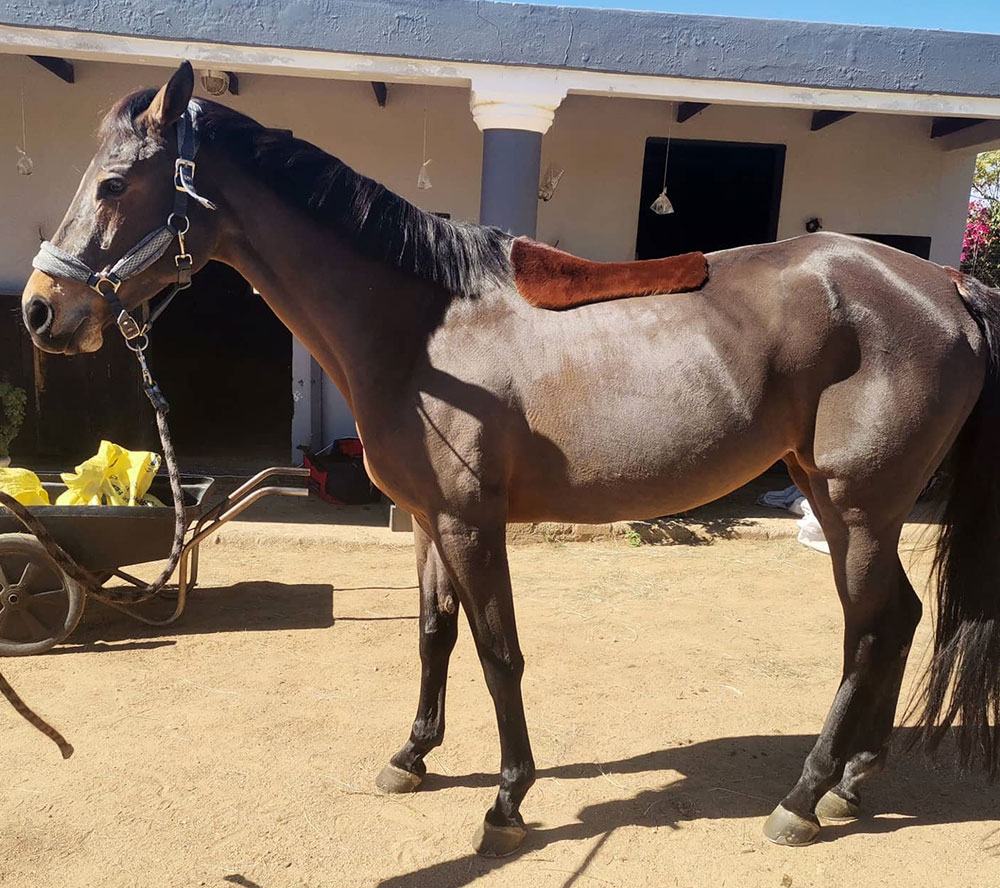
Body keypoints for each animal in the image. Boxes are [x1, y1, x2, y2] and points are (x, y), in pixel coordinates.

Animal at [21, 62, 1000, 855]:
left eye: (114, 184)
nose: (39, 310)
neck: (421, 330)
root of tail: (945, 282)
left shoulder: (469, 522)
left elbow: (499, 651)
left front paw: (506, 800)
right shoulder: (426, 521)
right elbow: (433, 637)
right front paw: (412, 756)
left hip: (860, 506)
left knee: (869, 630)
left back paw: (804, 797)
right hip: (835, 502)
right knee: (895, 622)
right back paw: (850, 785)